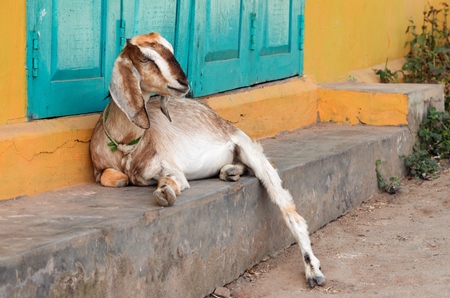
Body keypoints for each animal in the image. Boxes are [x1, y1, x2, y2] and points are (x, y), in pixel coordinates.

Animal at [89, 32, 326, 286]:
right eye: (145, 58)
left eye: (170, 49)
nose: (183, 82)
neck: (125, 145)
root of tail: (218, 118)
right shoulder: (100, 169)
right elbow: (111, 177)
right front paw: (125, 179)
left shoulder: (170, 167)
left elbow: (171, 180)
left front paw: (165, 192)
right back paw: (230, 172)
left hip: (249, 148)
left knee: (290, 210)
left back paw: (313, 269)